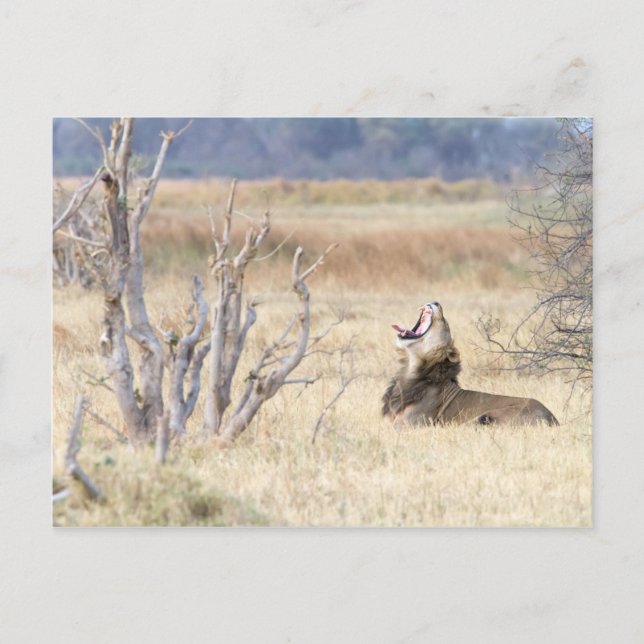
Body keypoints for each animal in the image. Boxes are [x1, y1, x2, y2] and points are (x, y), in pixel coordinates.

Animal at [382, 301, 558, 426]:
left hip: (484, 417)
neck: (411, 369)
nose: (436, 302)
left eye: (445, 322)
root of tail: (552, 419)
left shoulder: (408, 425)